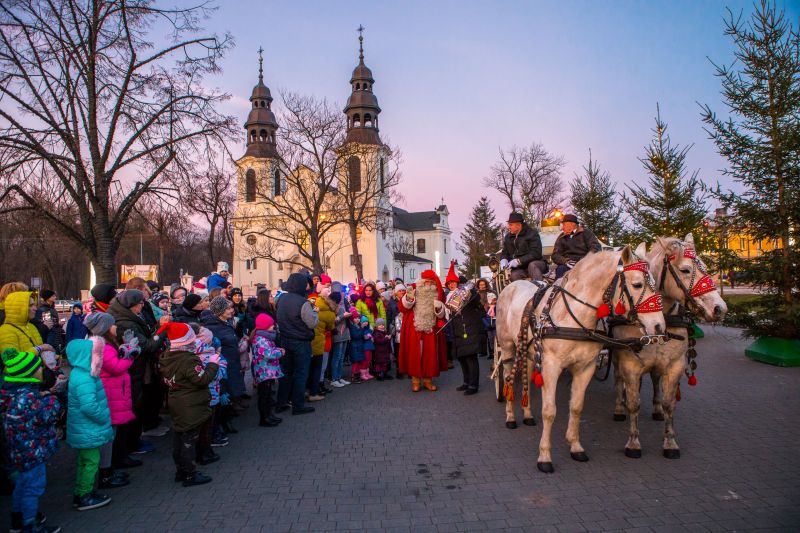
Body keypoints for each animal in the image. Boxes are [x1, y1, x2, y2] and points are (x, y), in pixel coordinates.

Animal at [495, 244, 666, 473]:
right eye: (637, 284)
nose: (659, 326)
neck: (574, 316)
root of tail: (512, 285)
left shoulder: (585, 368)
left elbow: (576, 407)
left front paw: (575, 446)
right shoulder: (551, 367)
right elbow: (549, 411)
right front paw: (544, 456)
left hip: (529, 351)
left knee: (527, 378)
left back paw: (528, 414)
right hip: (507, 348)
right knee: (508, 379)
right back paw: (511, 417)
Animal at [612, 234, 727, 459]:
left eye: (705, 266)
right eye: (685, 270)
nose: (720, 308)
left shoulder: (675, 365)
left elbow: (669, 404)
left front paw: (670, 442)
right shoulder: (630, 364)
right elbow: (634, 403)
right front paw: (633, 442)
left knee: (656, 379)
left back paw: (655, 409)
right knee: (619, 378)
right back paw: (619, 408)